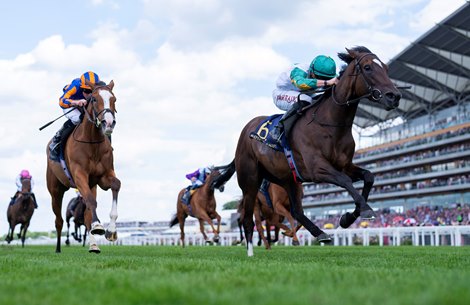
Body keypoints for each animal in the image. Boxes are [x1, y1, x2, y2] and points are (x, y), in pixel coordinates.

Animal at [46, 77, 120, 253]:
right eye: (94, 99)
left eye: (114, 99)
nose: (108, 123)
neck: (92, 142)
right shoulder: (79, 175)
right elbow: (91, 202)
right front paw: (99, 226)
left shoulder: (104, 177)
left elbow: (116, 185)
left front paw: (111, 231)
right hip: (55, 190)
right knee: (59, 220)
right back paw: (58, 248)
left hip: (91, 185)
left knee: (86, 216)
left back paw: (93, 246)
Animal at [213, 45, 400, 254]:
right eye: (367, 67)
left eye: (385, 68)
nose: (394, 96)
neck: (330, 123)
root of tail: (246, 131)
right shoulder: (317, 168)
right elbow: (345, 181)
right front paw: (364, 210)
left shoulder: (344, 165)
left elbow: (368, 176)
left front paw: (348, 218)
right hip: (250, 180)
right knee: (247, 218)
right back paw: (251, 252)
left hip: (287, 179)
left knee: (296, 211)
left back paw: (320, 233)